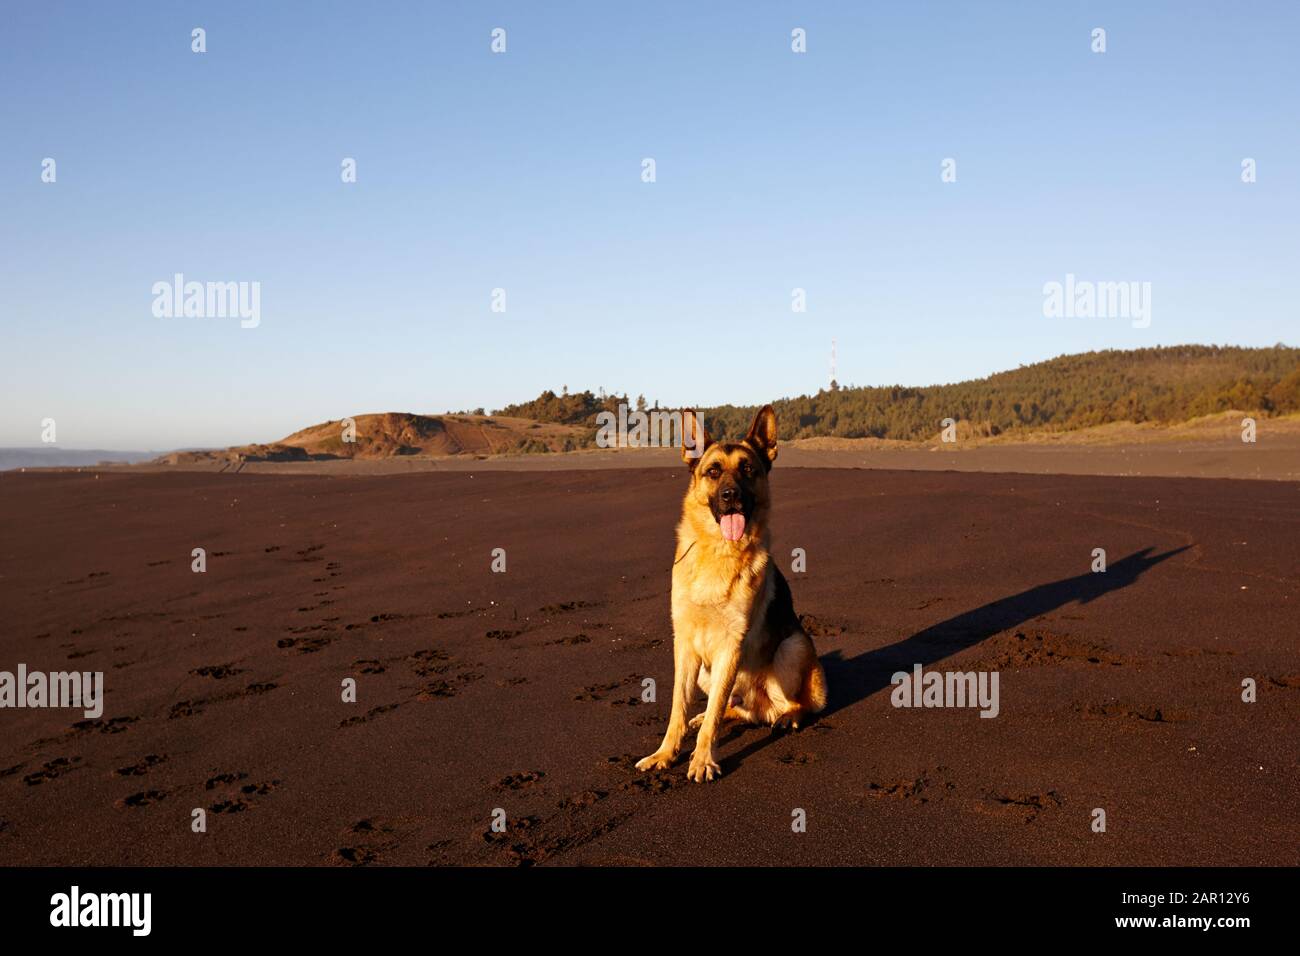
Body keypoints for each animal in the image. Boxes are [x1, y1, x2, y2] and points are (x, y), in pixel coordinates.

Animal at [634, 408, 826, 780]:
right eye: (713, 472)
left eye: (748, 469)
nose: (730, 495)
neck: (718, 552)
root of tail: (760, 707)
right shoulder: (685, 646)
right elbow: (679, 708)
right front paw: (665, 753)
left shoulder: (730, 647)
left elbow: (713, 715)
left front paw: (702, 760)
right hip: (707, 672)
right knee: (727, 707)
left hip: (792, 646)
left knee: (796, 703)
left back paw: (788, 717)